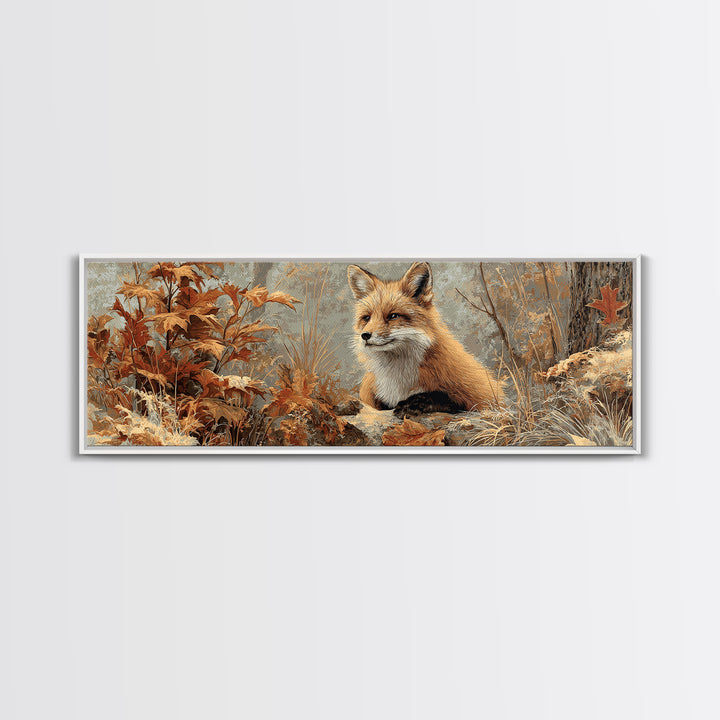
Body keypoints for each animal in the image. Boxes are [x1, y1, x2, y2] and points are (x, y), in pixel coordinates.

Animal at [347, 261, 504, 417]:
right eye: (366, 318)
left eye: (393, 316)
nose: (365, 335)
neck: (398, 378)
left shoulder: (481, 396)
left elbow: (442, 397)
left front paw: (413, 404)